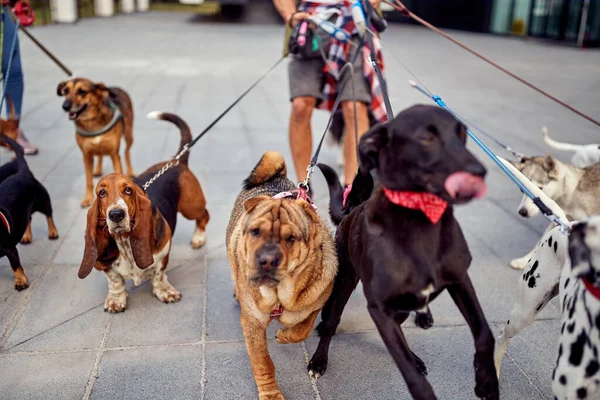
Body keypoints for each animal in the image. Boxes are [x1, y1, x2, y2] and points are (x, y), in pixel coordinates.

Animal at [56, 78, 135, 209]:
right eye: (65, 91)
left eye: (82, 91)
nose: (65, 106)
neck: (92, 122)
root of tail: (115, 87)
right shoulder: (86, 155)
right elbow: (88, 181)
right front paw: (87, 199)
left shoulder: (114, 155)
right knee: (100, 154)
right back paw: (97, 169)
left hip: (129, 136)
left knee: (127, 152)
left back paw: (130, 171)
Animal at [77, 112, 210, 312]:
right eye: (101, 193)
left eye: (128, 190)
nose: (116, 214)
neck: (124, 242)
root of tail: (176, 161)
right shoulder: (106, 267)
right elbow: (115, 280)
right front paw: (116, 300)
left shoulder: (163, 252)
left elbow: (159, 274)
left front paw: (165, 292)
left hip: (191, 207)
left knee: (204, 215)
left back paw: (198, 238)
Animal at [226, 151, 338, 400]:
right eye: (255, 232)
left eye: (291, 238)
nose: (267, 259)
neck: (279, 296)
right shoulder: (253, 323)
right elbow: (262, 362)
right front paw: (270, 394)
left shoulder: (316, 303)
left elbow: (301, 330)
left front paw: (283, 335)